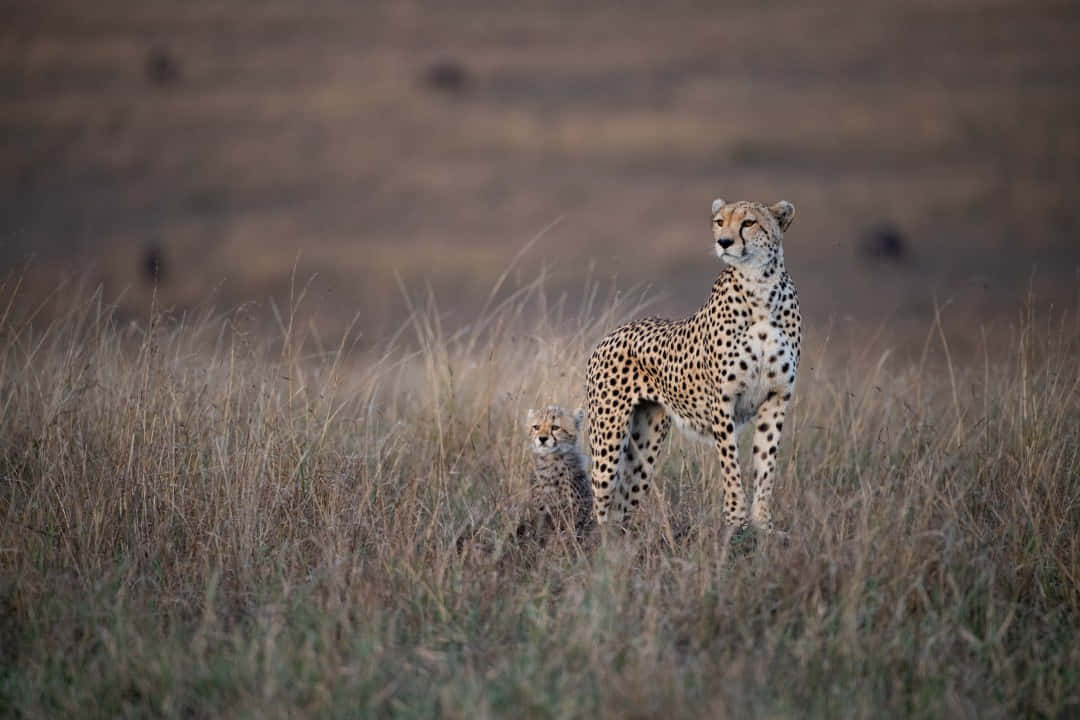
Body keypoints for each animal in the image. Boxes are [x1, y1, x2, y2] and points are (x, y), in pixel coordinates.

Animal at [585, 197, 802, 533]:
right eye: (719, 221)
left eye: (748, 222)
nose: (723, 242)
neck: (761, 289)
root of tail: (612, 333)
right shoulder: (722, 402)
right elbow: (731, 465)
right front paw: (736, 520)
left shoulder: (777, 398)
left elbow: (766, 466)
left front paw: (763, 524)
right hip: (608, 437)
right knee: (602, 501)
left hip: (646, 441)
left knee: (625, 499)